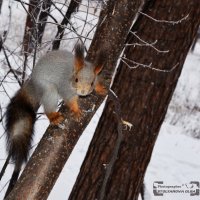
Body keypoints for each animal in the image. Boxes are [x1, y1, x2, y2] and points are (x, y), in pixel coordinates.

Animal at [4, 42, 106, 197]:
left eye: (92, 82)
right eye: (76, 79)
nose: (83, 92)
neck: (72, 73)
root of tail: (33, 83)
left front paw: (100, 88)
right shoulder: (65, 87)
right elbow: (70, 100)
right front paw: (76, 111)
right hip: (49, 90)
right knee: (48, 105)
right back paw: (54, 116)